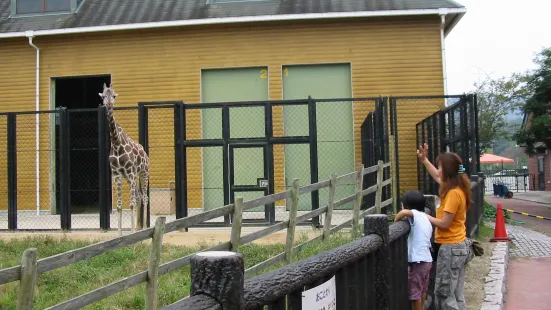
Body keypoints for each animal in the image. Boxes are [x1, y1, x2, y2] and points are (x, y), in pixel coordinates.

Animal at [99, 83, 150, 235]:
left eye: (114, 96)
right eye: (103, 96)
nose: (109, 105)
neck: (116, 143)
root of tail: (145, 153)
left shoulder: (131, 172)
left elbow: (131, 204)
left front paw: (132, 232)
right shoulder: (117, 174)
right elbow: (119, 205)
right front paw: (120, 234)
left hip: (143, 173)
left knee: (144, 197)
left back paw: (144, 228)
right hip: (129, 177)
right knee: (139, 196)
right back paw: (139, 228)